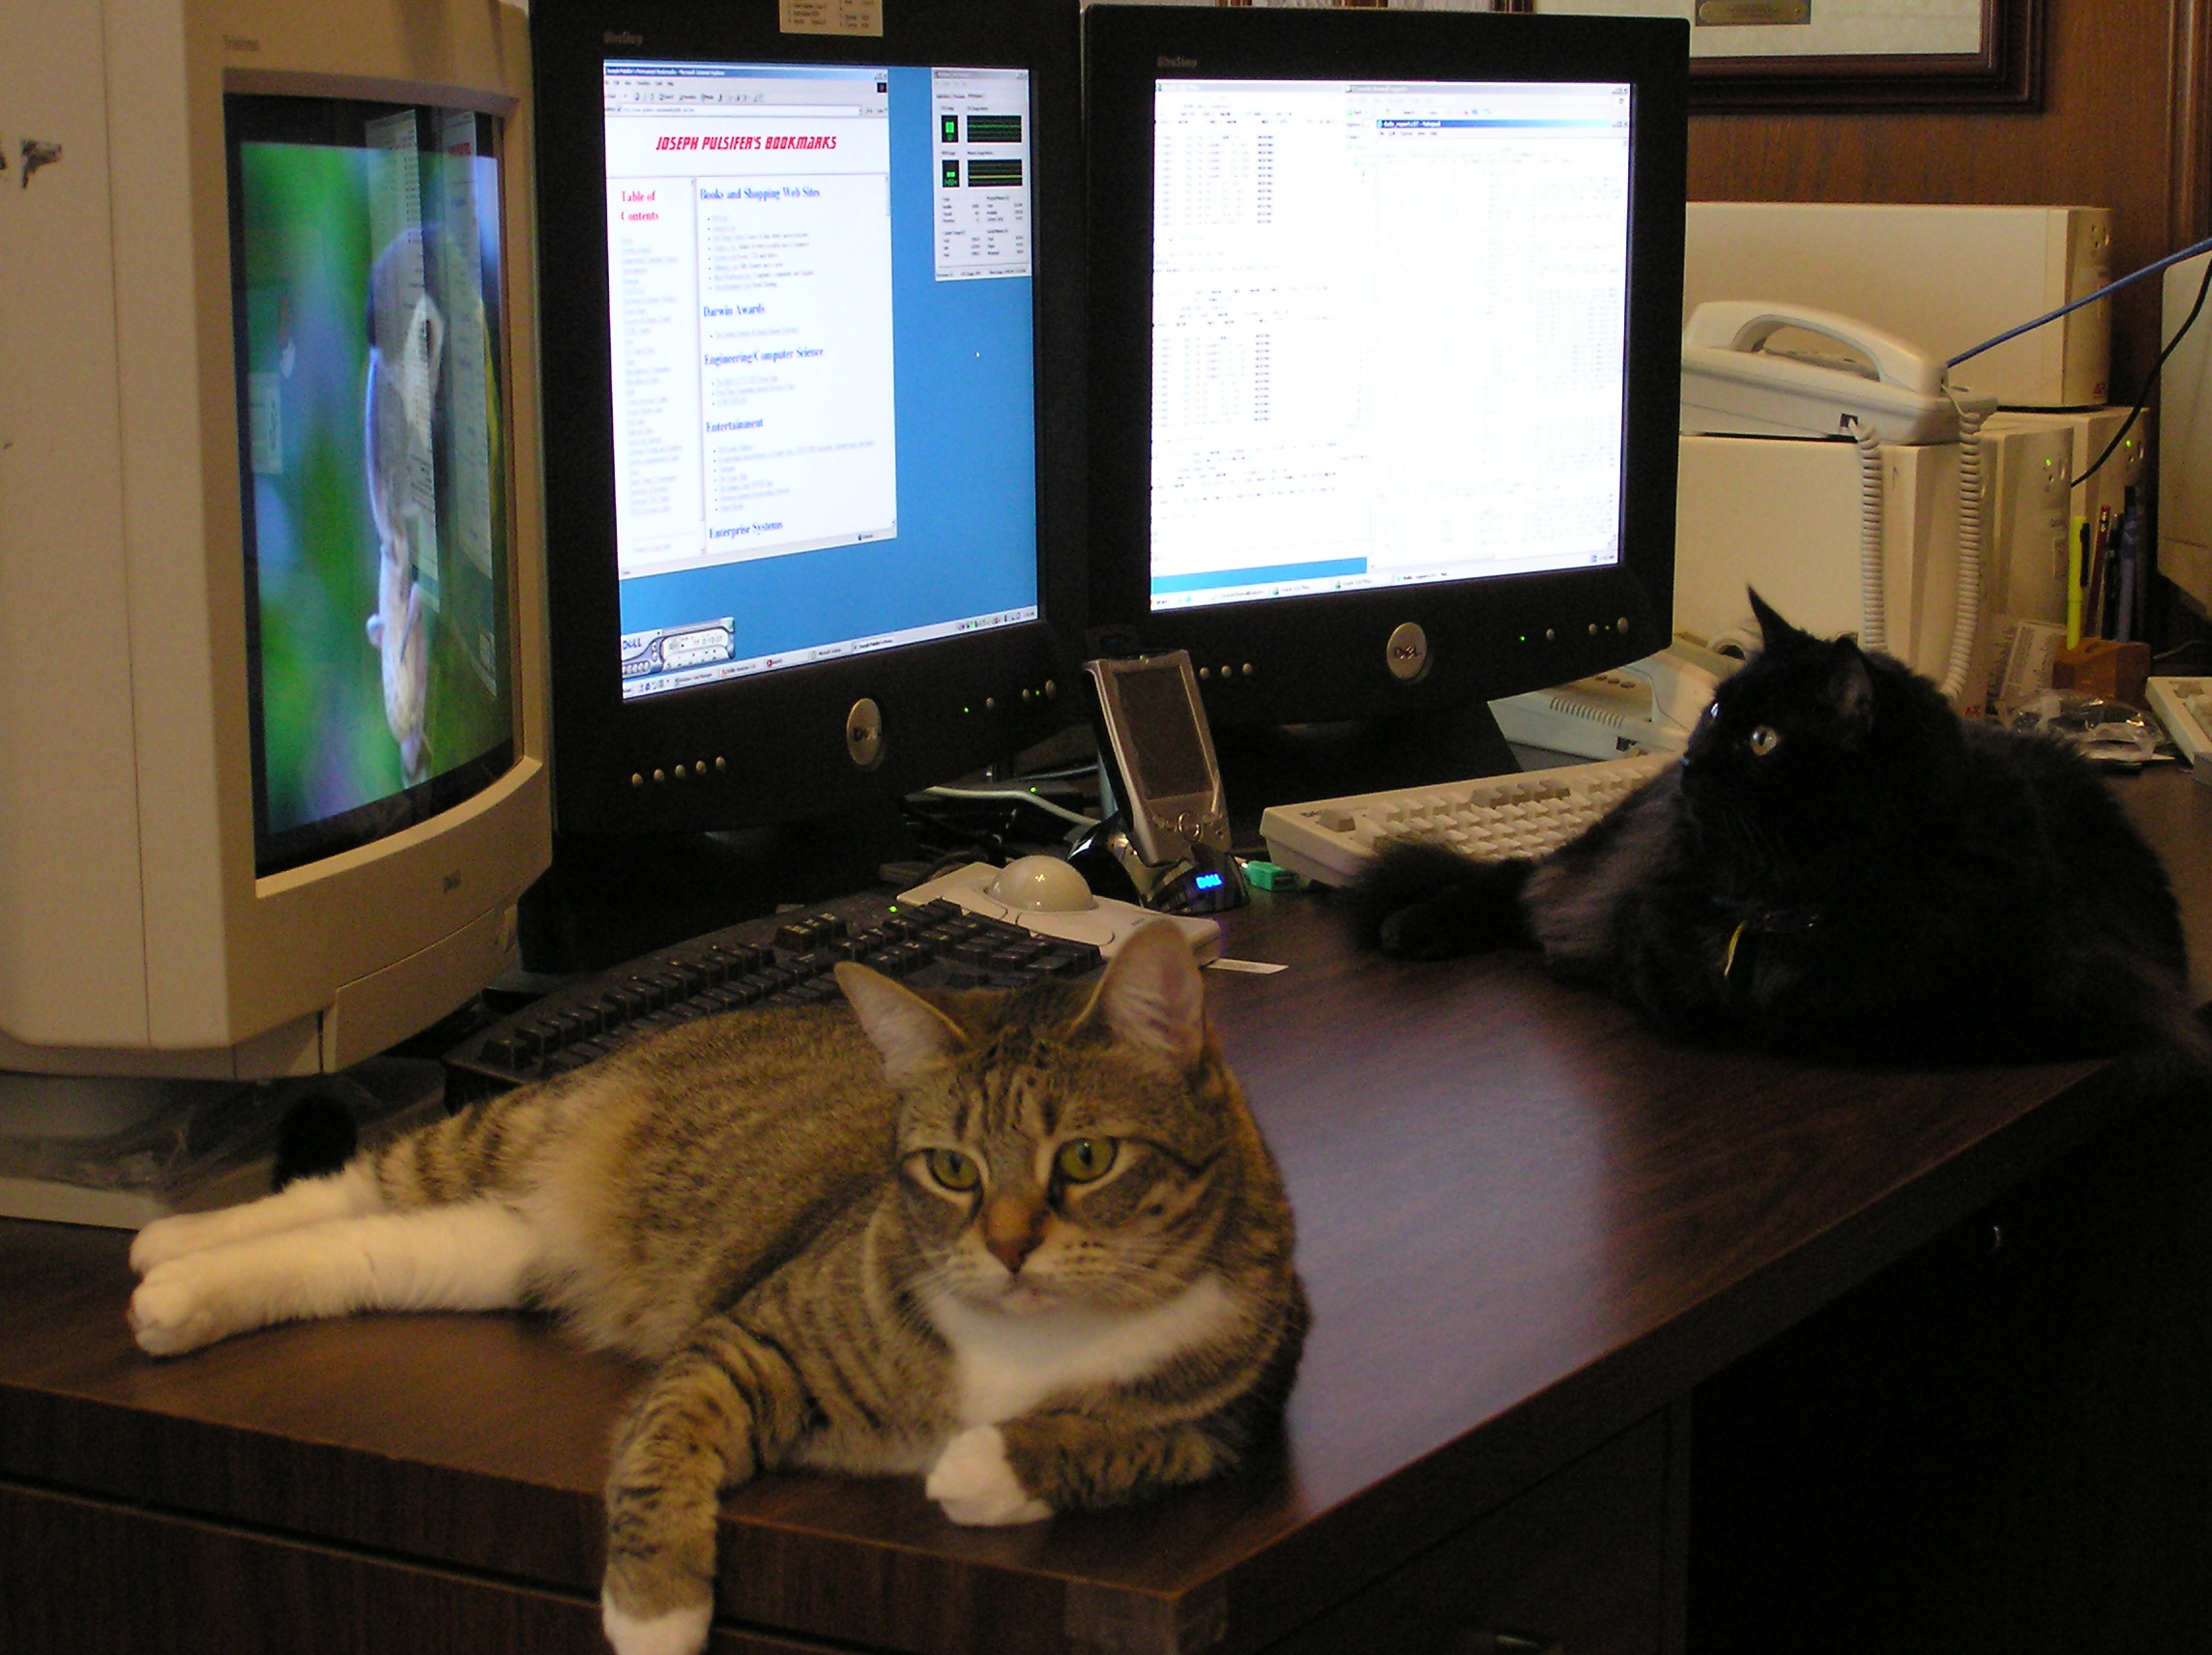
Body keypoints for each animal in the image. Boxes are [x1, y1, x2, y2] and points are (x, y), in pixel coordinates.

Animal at [125, 920, 1307, 1655]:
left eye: (1086, 1159)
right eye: (952, 1169)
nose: (1011, 1250)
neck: (1026, 1339)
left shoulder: (1229, 1421)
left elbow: (1114, 1442)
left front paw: (982, 1465)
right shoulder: (744, 1341)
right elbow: (663, 1445)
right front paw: (653, 1613)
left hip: (496, 1251)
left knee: (372, 1250)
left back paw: (179, 1293)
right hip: (512, 1133)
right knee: (355, 1183)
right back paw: (167, 1238)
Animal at [1350, 590, 2208, 1075]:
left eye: (1764, 741)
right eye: (1716, 709)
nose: (1690, 759)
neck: (1776, 895)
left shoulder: (2029, 1002)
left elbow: (1802, 1014)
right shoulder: (1650, 915)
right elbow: (1662, 976)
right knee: (1524, 880)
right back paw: (1410, 926)